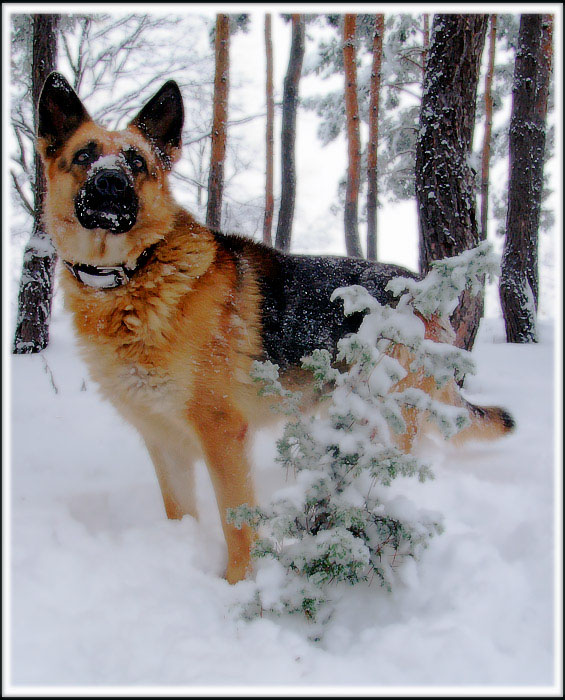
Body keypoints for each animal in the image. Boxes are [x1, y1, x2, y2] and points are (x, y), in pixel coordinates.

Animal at [34, 72, 512, 584]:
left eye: (137, 162)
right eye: (84, 156)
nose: (110, 182)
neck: (134, 278)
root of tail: (422, 289)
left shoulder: (222, 435)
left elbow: (237, 524)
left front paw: (240, 584)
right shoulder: (163, 441)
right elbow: (179, 511)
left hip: (389, 414)